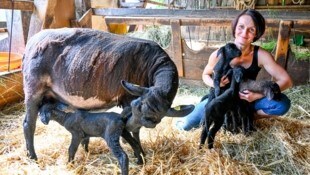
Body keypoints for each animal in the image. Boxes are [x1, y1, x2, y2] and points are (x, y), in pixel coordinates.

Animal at [21, 27, 193, 160]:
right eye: (135, 105)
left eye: (153, 120)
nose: (126, 127)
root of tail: (31, 41)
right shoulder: (128, 97)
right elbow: (135, 132)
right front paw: (139, 153)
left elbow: (135, 129)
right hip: (33, 88)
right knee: (28, 124)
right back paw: (33, 157)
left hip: (50, 96)